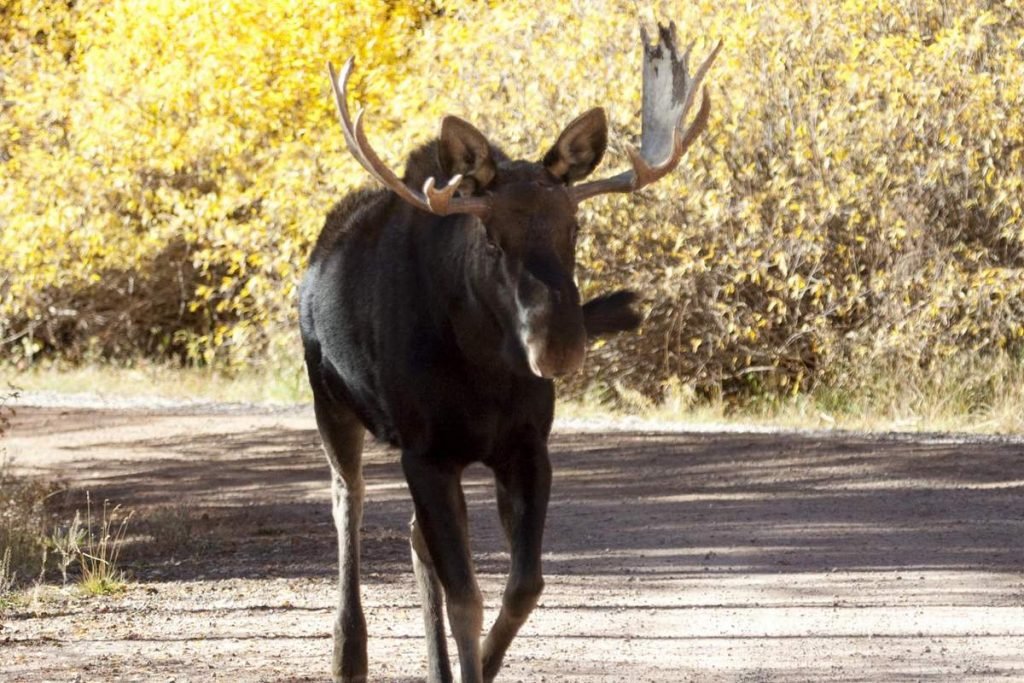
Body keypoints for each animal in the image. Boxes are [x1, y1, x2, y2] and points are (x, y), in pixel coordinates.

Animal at [301, 21, 720, 683]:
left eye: (575, 229)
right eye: (492, 240)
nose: (559, 344)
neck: (486, 375)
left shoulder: (525, 448)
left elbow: (523, 587)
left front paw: (481, 666)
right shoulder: (425, 453)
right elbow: (467, 596)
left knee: (416, 536)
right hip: (331, 402)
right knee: (349, 503)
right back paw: (348, 653)